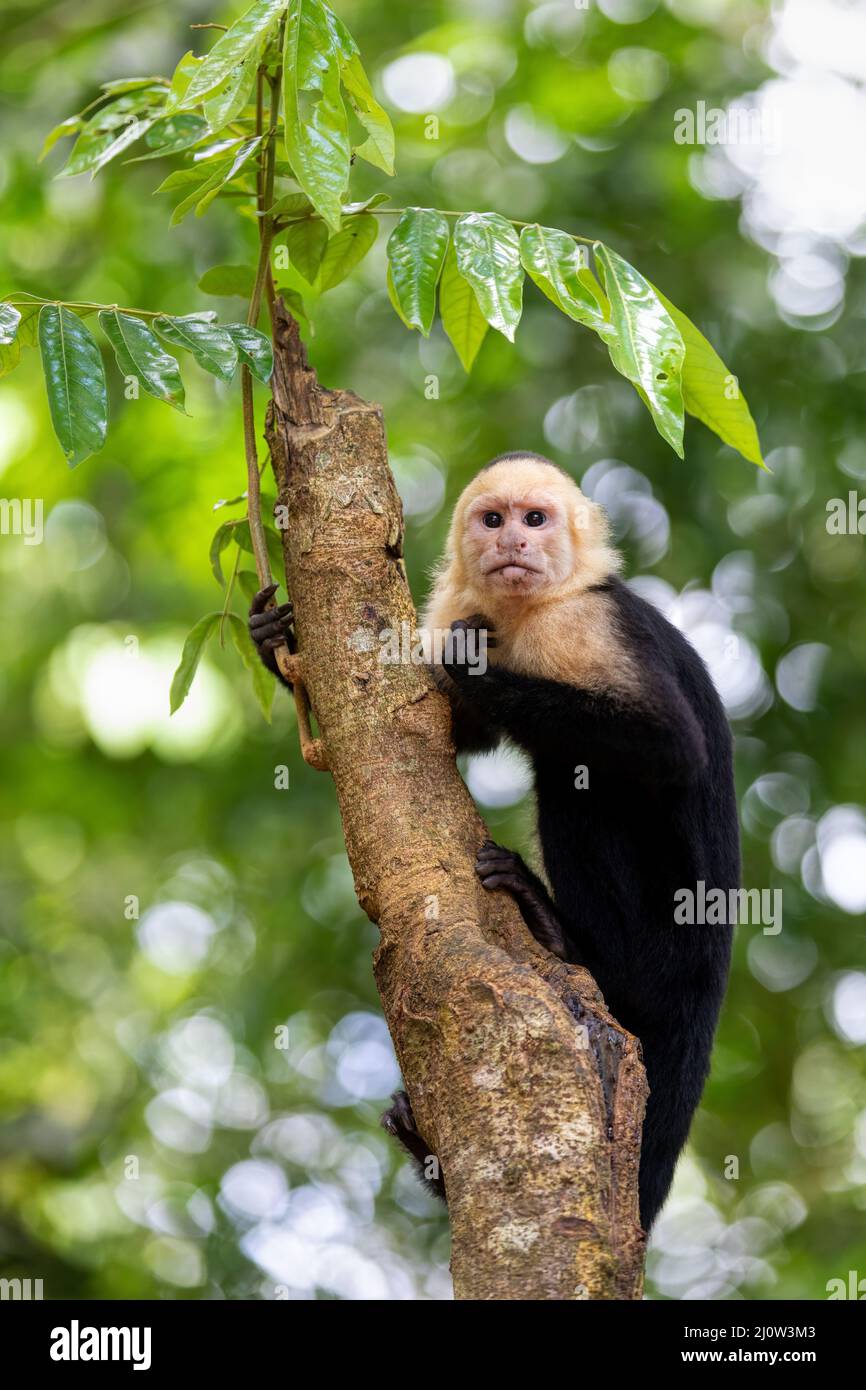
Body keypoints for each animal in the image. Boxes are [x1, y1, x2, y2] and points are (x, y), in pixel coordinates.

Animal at [248, 450, 739, 1234]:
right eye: (493, 518)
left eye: (535, 519)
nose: (512, 541)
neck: (525, 613)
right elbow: (443, 726)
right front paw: (275, 642)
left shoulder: (584, 621)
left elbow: (671, 749)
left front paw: (473, 663)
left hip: (671, 932)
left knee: (582, 781)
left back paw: (565, 937)